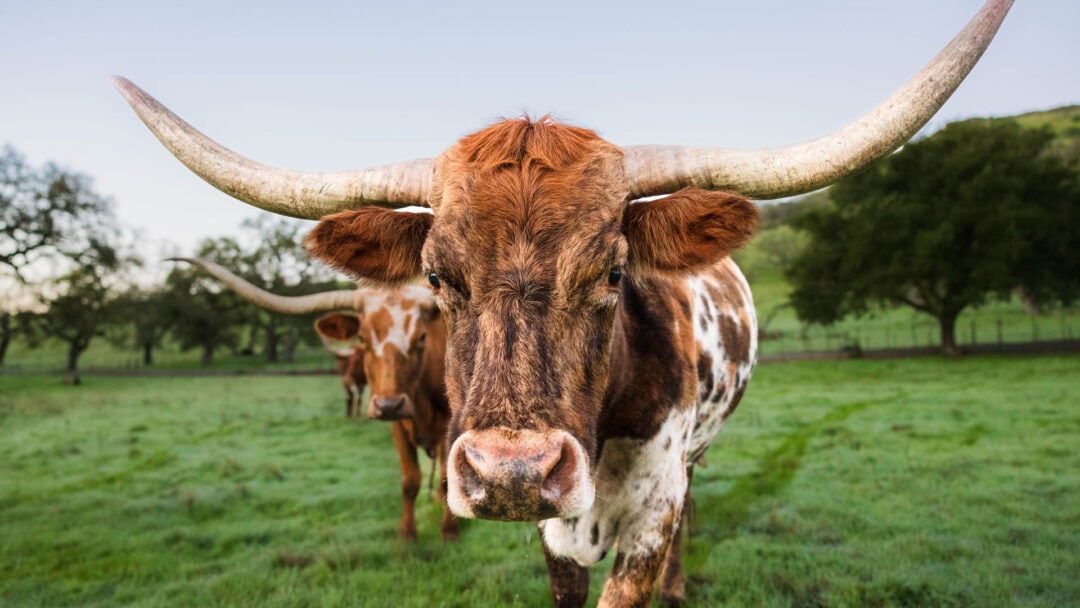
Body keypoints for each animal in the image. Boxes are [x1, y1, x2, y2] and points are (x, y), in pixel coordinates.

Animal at [171, 258, 455, 542]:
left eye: (421, 337)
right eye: (362, 338)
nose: (388, 405)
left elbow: (445, 479)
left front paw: (448, 532)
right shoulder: (398, 425)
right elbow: (410, 481)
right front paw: (407, 535)